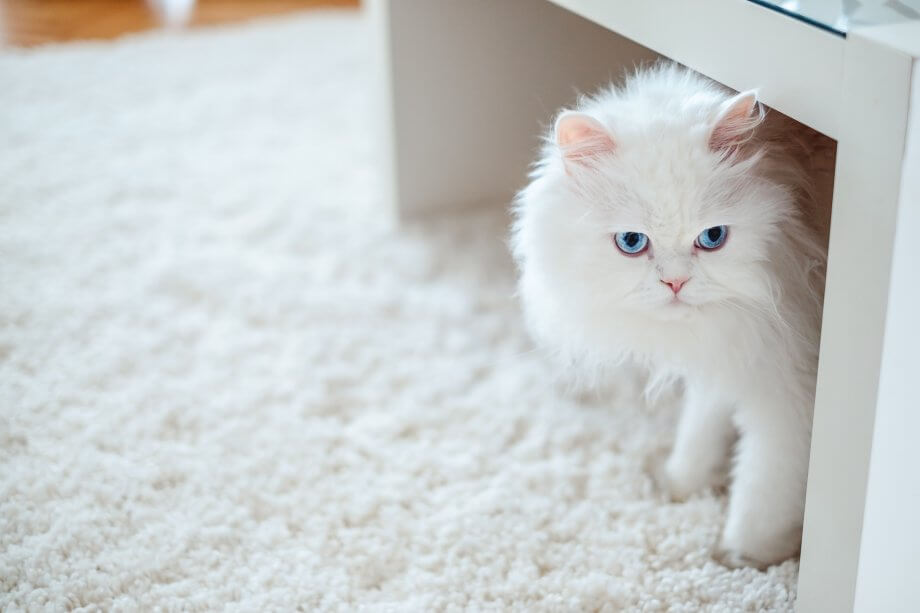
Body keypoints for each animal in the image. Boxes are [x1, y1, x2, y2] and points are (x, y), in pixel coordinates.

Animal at [512, 64, 832, 568]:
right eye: (631, 242)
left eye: (713, 237)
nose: (676, 283)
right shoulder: (735, 350)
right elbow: (702, 426)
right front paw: (683, 484)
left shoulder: (789, 395)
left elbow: (763, 489)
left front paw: (743, 558)